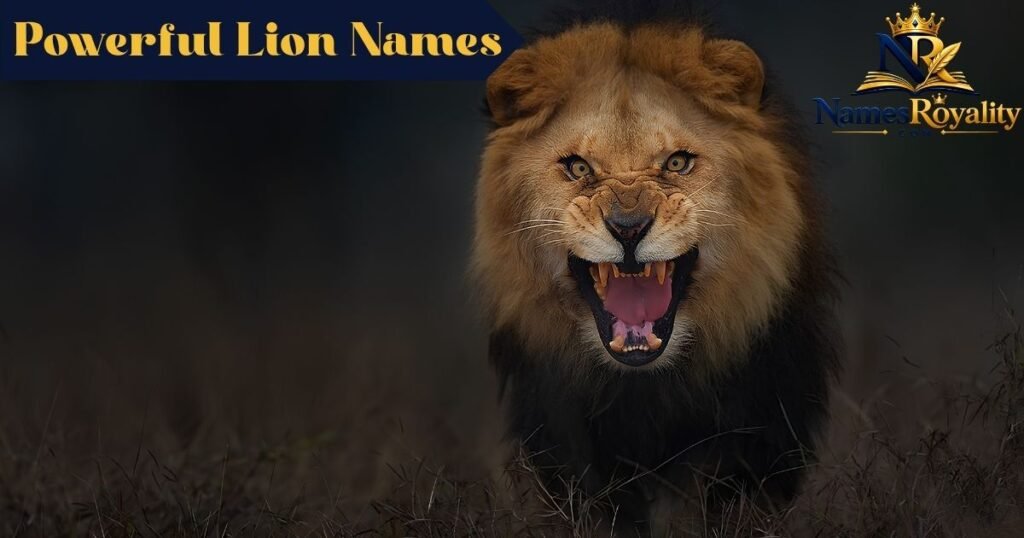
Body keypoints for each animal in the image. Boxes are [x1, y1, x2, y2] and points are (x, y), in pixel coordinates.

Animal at [472, 8, 840, 532]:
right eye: (579, 168)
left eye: (678, 162)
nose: (628, 228)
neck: (645, 386)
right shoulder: (567, 441)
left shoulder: (758, 434)